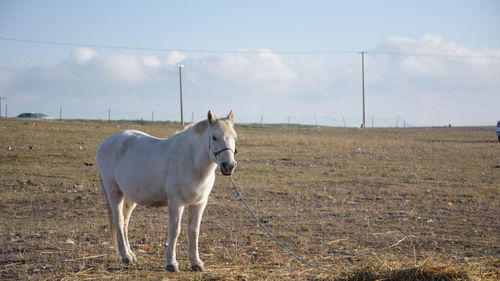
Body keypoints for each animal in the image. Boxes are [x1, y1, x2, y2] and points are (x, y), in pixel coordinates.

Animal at [98, 110, 239, 272]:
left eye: (234, 137)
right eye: (214, 137)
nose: (229, 166)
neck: (191, 162)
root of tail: (106, 143)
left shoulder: (199, 203)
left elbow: (194, 231)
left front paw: (196, 262)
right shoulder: (176, 203)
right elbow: (174, 230)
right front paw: (172, 263)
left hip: (129, 197)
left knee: (125, 222)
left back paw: (131, 255)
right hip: (114, 192)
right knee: (119, 220)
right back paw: (125, 256)